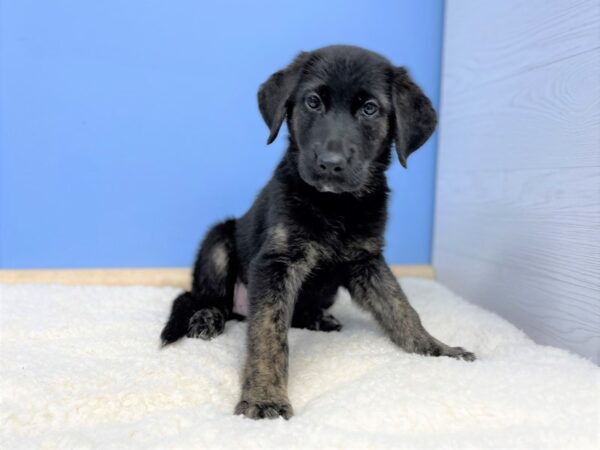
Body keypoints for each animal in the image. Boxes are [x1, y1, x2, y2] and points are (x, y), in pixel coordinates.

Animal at [161, 44, 478, 418]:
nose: (330, 163)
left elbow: (401, 308)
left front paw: (437, 349)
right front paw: (265, 396)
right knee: (208, 299)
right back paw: (206, 318)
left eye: (370, 109)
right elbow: (268, 332)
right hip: (218, 242)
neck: (334, 205)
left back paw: (317, 318)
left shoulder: (367, 259)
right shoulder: (276, 263)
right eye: (313, 102)